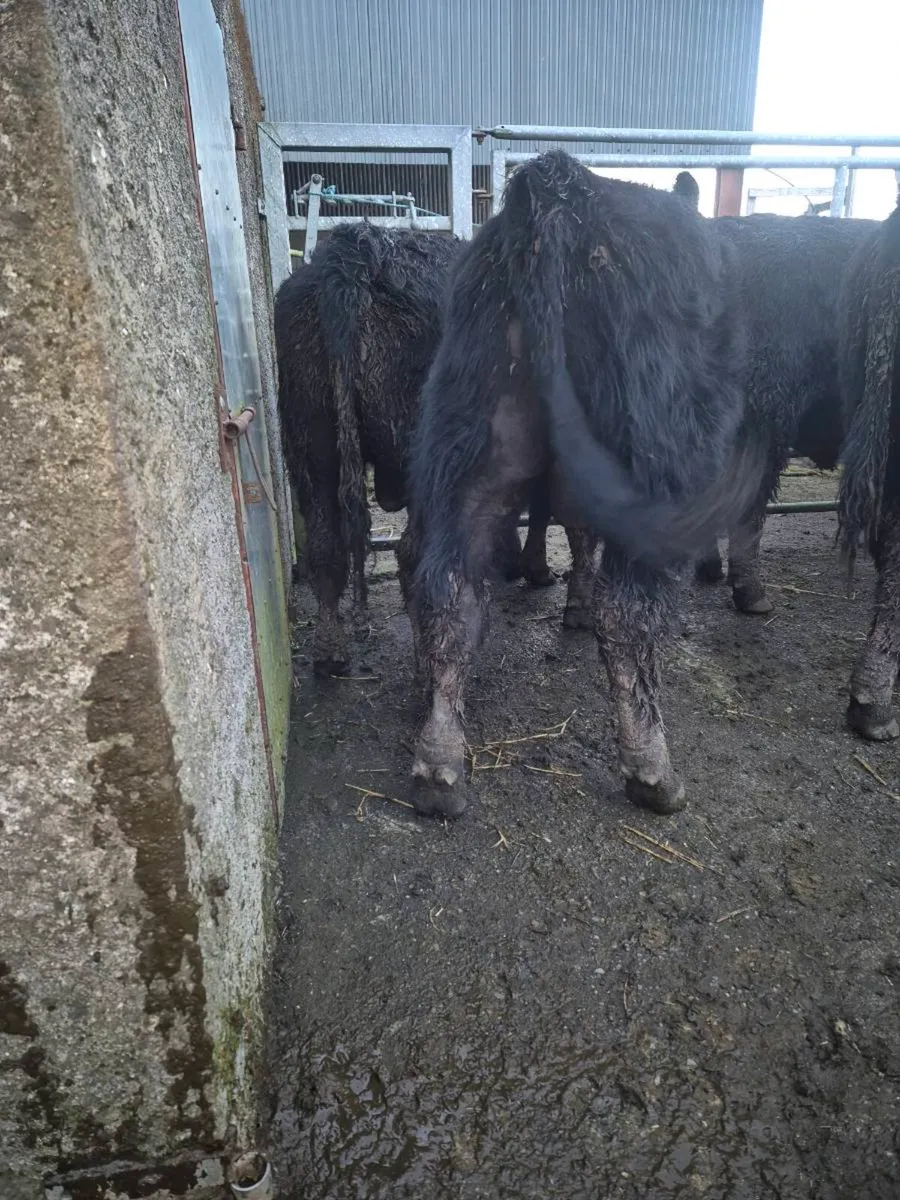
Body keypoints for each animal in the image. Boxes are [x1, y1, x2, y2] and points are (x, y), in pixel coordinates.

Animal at [275, 223, 557, 677]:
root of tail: (354, 253)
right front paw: (532, 567)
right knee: (412, 555)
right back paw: (428, 660)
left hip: (312, 444)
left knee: (326, 546)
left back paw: (330, 653)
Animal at [398, 151, 763, 820]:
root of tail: (557, 186)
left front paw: (573, 604)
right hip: (648, 458)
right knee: (629, 614)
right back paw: (653, 768)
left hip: (470, 444)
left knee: (448, 588)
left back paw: (438, 766)